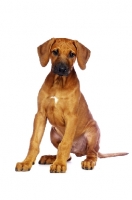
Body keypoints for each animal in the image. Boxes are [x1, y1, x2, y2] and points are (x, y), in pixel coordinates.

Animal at [15, 38, 128, 173]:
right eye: (55, 52)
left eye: (72, 54)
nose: (62, 69)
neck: (59, 82)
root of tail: (79, 151)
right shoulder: (40, 114)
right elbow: (34, 141)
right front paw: (26, 162)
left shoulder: (72, 117)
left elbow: (65, 144)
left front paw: (59, 164)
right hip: (53, 133)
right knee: (68, 154)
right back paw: (51, 158)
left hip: (93, 132)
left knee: (92, 153)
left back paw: (87, 161)